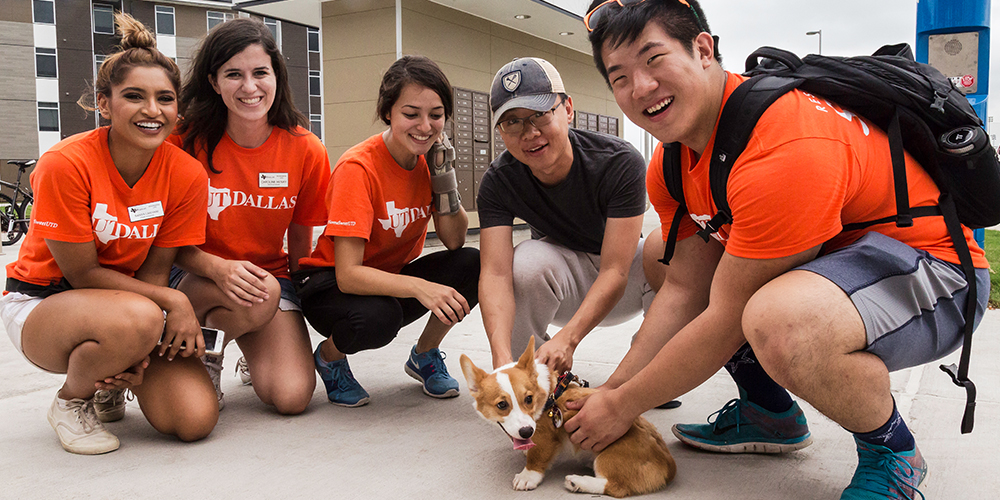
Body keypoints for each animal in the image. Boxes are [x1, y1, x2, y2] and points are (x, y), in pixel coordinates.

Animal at [458, 338, 676, 498]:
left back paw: (577, 482)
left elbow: (536, 458)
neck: (547, 397)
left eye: (528, 399)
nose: (527, 432)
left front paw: (527, 476)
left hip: (609, 456)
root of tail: (668, 463)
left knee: (616, 487)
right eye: (502, 405)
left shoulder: (544, 437)